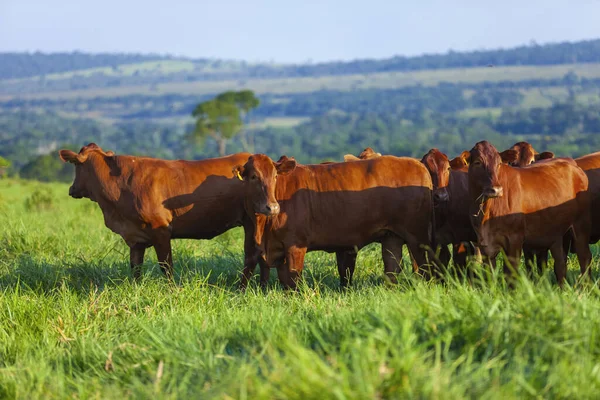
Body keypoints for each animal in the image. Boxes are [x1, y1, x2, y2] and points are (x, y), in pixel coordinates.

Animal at [59, 143, 266, 284]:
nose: (72, 189)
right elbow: (135, 268)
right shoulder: (136, 237)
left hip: (253, 220)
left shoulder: (160, 230)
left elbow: (166, 266)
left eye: (75, 165)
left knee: (253, 255)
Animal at [232, 153, 434, 288]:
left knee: (424, 267)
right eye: (253, 176)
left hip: (417, 237)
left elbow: (294, 281)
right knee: (392, 268)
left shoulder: (295, 246)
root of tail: (416, 163)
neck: (263, 229)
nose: (272, 207)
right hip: (391, 237)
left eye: (274, 176)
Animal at [466, 141, 588, 284]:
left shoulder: (515, 240)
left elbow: (511, 275)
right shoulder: (484, 244)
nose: (496, 190)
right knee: (560, 265)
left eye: (499, 163)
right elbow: (490, 276)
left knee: (585, 258)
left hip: (580, 228)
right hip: (557, 235)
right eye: (477, 162)